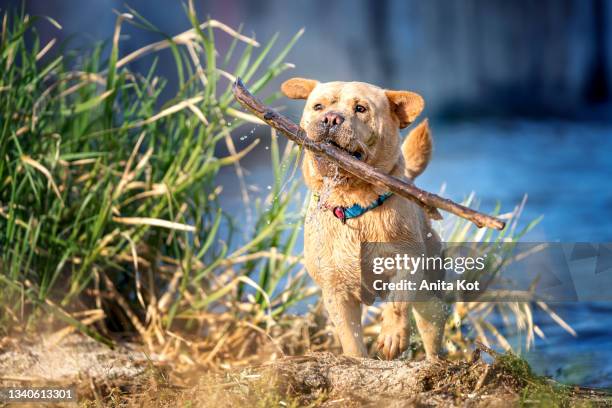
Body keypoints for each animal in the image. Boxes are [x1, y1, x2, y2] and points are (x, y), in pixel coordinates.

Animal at [284, 78, 448, 358]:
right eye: (318, 106)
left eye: (360, 108)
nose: (331, 118)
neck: (353, 205)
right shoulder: (336, 290)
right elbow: (350, 338)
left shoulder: (408, 261)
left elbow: (398, 300)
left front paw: (392, 336)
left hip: (429, 293)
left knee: (431, 327)